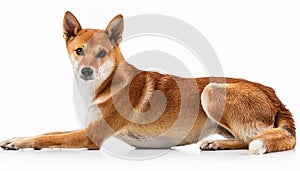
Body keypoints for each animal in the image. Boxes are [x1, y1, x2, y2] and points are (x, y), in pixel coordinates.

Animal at [0, 11, 296, 154]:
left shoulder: (90, 136)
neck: (105, 84)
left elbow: (50, 136)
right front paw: (17, 137)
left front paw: (20, 143)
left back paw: (218, 145)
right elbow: (49, 130)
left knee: (257, 138)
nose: (86, 71)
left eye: (102, 54)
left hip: (212, 92)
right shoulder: (87, 127)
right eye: (79, 51)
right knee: (251, 138)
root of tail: (274, 95)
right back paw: (218, 144)